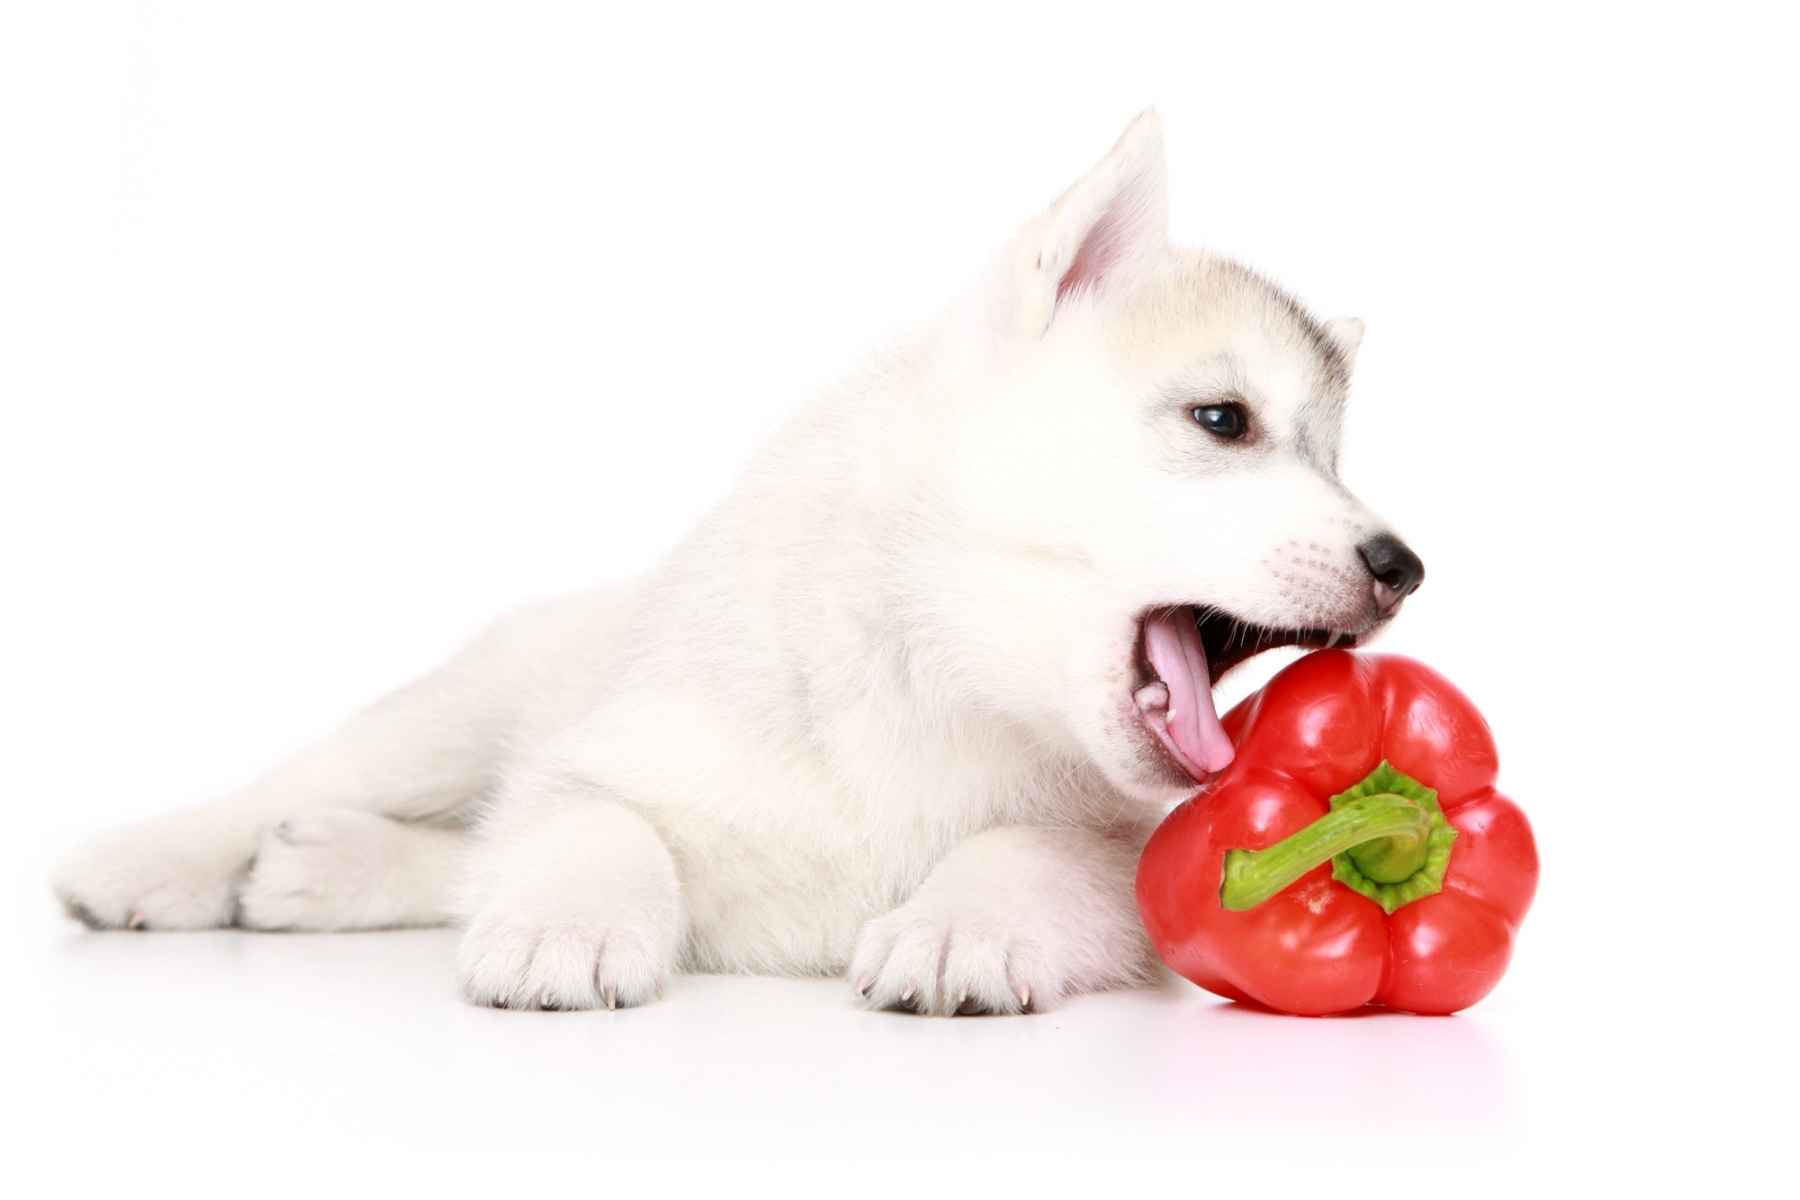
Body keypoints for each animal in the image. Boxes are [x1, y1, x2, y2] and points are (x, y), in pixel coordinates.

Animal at [52, 110, 1418, 1014]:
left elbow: (1032, 853)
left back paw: (328, 867)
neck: (935, 683)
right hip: (460, 709)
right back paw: (154, 861)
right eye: (1224, 421)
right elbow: (589, 821)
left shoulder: (1132, 861)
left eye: (1336, 457)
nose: (1402, 563)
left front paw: (962, 925)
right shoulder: (602, 752)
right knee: (325, 782)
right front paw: (568, 922)